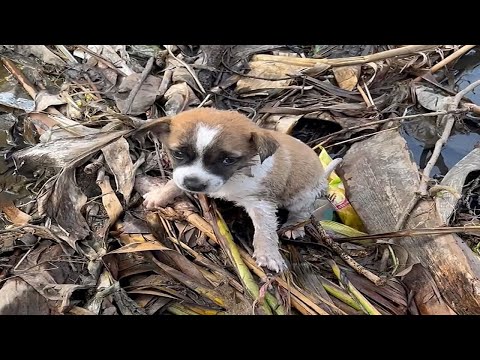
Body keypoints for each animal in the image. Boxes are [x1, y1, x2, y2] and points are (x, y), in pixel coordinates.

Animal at [142, 108, 342, 272]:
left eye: (228, 160)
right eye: (179, 154)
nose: (193, 184)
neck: (234, 176)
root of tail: (322, 175)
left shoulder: (261, 203)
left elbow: (265, 230)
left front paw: (268, 254)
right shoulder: (182, 175)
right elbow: (174, 182)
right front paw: (160, 195)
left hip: (302, 197)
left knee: (303, 212)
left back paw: (294, 226)